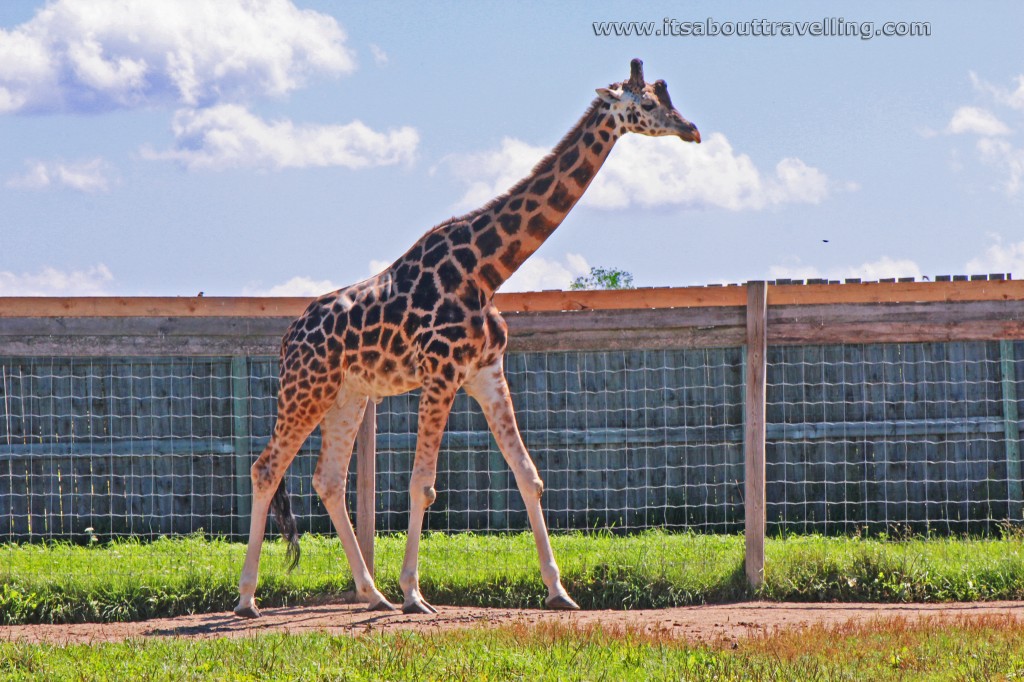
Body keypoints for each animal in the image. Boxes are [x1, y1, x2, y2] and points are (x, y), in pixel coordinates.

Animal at [234, 55, 696, 614]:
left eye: (666, 98)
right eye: (645, 104)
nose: (692, 130)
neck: (486, 270)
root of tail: (287, 340)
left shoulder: (486, 373)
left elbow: (528, 475)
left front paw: (558, 591)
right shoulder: (441, 374)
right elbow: (423, 486)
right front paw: (415, 594)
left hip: (348, 395)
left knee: (328, 479)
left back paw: (372, 594)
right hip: (306, 390)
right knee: (266, 468)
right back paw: (248, 599)